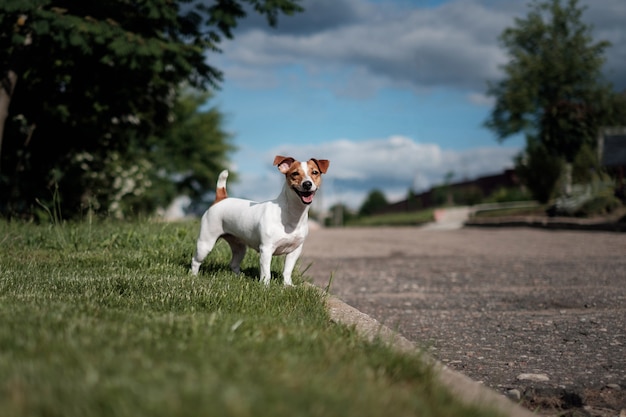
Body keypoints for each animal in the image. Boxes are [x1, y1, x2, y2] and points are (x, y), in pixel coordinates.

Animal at [189, 154, 326, 284]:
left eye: (315, 172)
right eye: (295, 173)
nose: (307, 184)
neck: (291, 215)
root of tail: (221, 199)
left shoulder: (294, 251)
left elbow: (287, 271)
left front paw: (288, 285)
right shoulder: (266, 249)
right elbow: (266, 273)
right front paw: (265, 286)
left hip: (239, 247)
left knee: (234, 264)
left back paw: (240, 277)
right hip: (205, 243)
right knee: (195, 260)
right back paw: (194, 277)